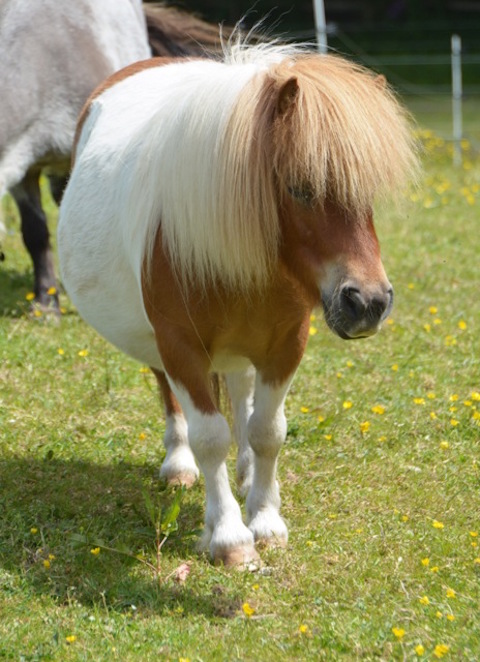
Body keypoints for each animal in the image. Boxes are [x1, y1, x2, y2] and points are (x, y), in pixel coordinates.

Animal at [56, 44, 416, 568]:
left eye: (366, 192)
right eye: (299, 188)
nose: (368, 302)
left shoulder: (286, 344)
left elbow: (268, 430)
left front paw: (265, 520)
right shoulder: (180, 347)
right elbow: (209, 437)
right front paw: (230, 537)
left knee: (241, 386)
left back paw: (245, 471)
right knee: (171, 395)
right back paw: (179, 463)